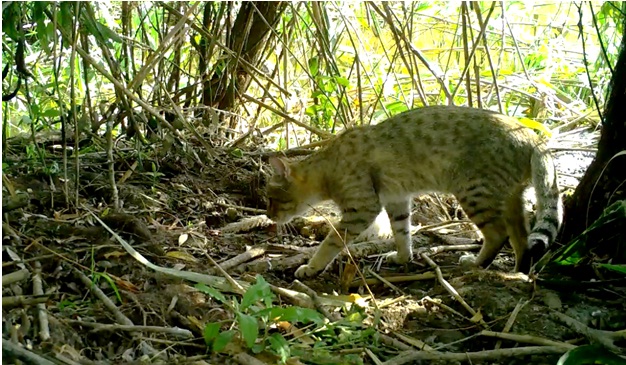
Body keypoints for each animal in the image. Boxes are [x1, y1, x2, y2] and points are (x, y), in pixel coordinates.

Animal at [264, 105, 560, 278]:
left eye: (271, 198)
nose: (268, 215)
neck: (328, 164)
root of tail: (533, 137)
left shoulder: (362, 208)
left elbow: (331, 242)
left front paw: (312, 267)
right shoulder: (397, 200)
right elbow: (402, 232)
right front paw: (403, 257)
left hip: (475, 192)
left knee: (499, 233)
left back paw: (477, 264)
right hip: (509, 196)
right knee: (521, 235)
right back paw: (518, 272)